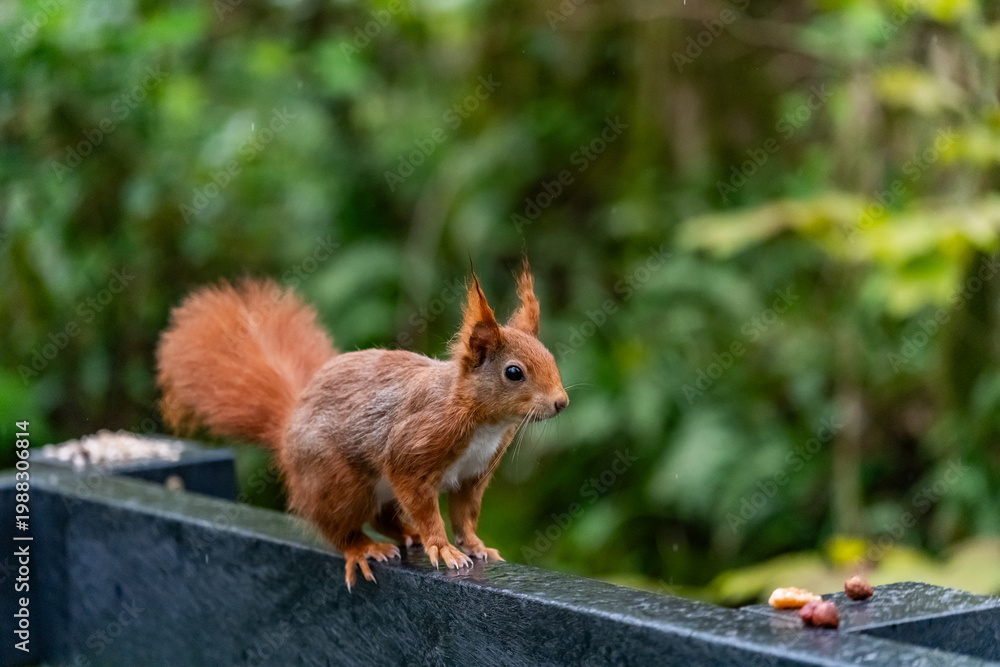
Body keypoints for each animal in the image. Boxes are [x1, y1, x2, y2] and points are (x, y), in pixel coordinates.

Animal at [155, 260, 568, 589]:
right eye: (513, 372)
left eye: (550, 357)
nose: (561, 402)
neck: (482, 422)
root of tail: (288, 427)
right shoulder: (414, 448)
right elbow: (423, 503)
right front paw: (443, 547)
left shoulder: (474, 474)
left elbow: (465, 514)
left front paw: (475, 545)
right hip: (340, 483)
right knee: (340, 528)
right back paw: (364, 547)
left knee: (385, 517)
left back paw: (405, 534)